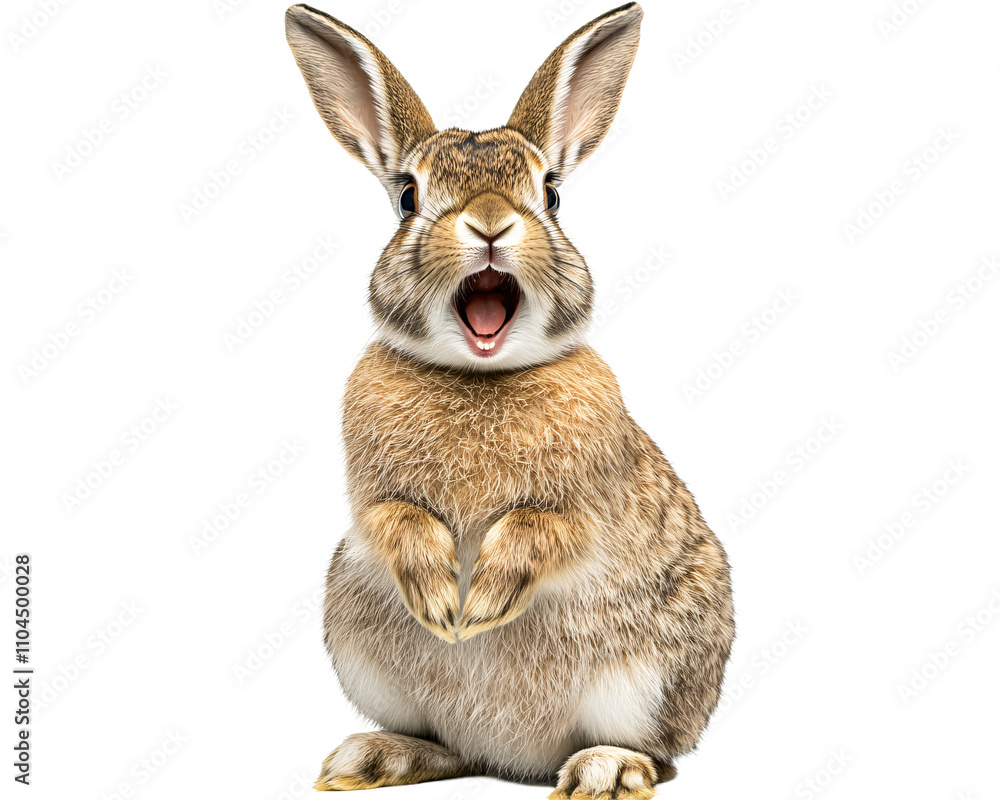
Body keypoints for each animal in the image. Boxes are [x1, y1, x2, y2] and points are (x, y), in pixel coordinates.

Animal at [285, 3, 734, 798]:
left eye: (550, 192)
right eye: (408, 197)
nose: (491, 223)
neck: (479, 375)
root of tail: (513, 757)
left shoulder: (588, 505)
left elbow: (544, 527)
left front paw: (484, 603)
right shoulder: (370, 500)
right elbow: (393, 518)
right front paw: (445, 604)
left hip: (655, 667)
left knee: (658, 754)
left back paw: (604, 771)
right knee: (449, 746)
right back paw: (373, 757)